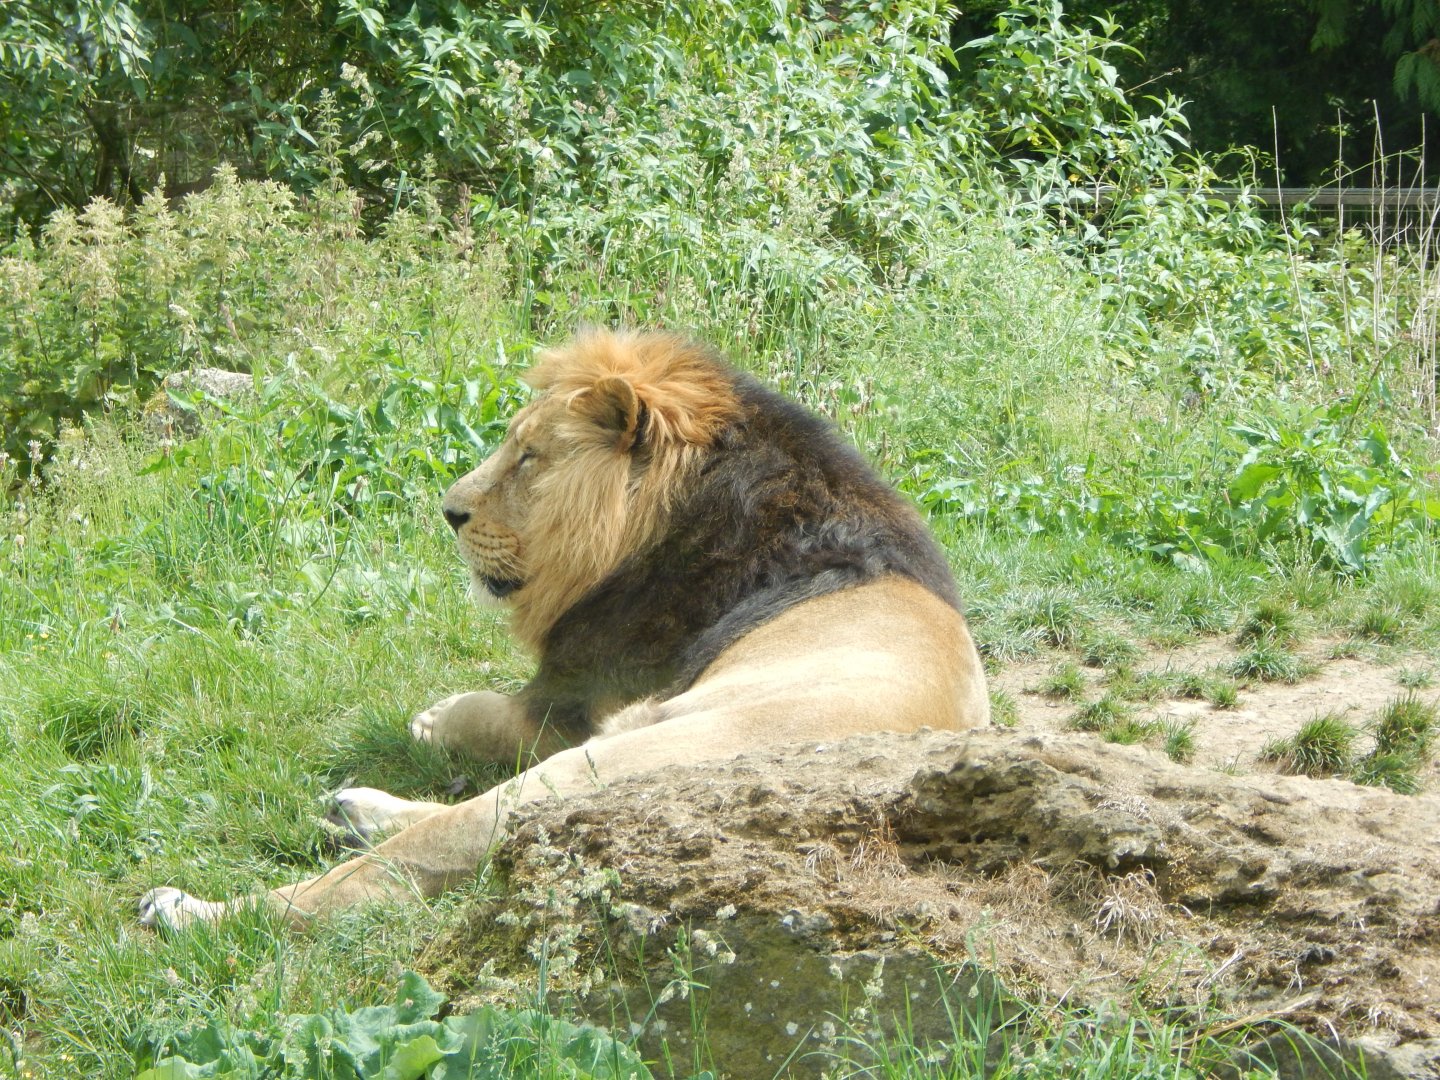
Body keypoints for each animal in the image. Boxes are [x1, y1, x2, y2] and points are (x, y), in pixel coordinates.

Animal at [140, 329, 989, 930]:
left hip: (614, 759)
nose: (449, 512)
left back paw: (193, 913)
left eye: (527, 458)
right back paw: (353, 809)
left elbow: (483, 717)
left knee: (402, 865)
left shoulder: (578, 700)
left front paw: (432, 718)